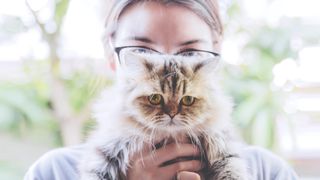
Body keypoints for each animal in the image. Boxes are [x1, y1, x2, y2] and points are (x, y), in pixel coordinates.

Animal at [79, 51, 249, 179]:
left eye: (188, 100)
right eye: (155, 98)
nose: (172, 114)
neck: (170, 137)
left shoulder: (223, 146)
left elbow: (233, 170)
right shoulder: (107, 149)